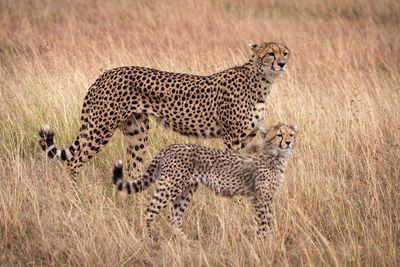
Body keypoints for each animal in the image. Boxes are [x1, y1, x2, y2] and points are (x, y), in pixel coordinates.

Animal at [39, 43, 290, 179]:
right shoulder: (232, 138)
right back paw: (72, 195)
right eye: (271, 53)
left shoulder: (247, 138)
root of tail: (106, 73)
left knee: (133, 167)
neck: (262, 82)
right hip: (101, 128)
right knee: (73, 162)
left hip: (137, 131)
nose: (282, 64)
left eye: (285, 52)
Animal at [112, 124, 296, 240]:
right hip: (170, 186)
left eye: (291, 134)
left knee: (174, 217)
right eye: (279, 134)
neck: (276, 155)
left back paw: (185, 242)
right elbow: (263, 222)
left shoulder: (267, 198)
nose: (288, 142)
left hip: (187, 189)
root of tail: (171, 147)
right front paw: (263, 241)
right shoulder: (260, 198)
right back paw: (148, 239)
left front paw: (267, 239)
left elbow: (268, 220)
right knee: (149, 212)